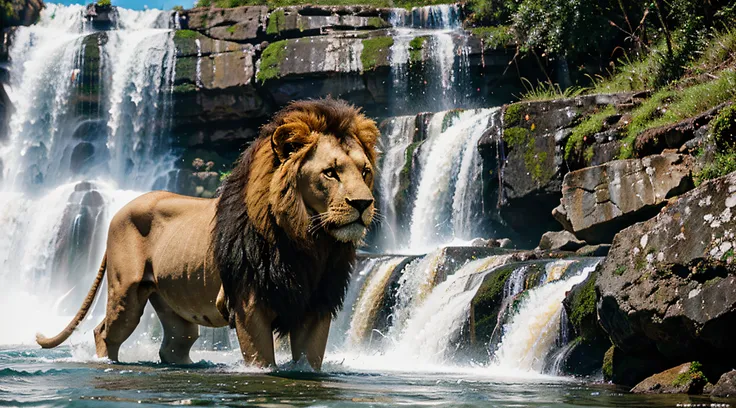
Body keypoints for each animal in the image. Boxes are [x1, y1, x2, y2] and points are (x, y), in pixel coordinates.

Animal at [36, 99, 376, 370]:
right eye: (330, 172)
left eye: (365, 171)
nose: (363, 204)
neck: (309, 245)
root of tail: (121, 209)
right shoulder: (249, 306)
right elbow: (261, 361)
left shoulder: (316, 306)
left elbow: (310, 361)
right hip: (126, 293)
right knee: (105, 331)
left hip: (173, 305)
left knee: (174, 345)